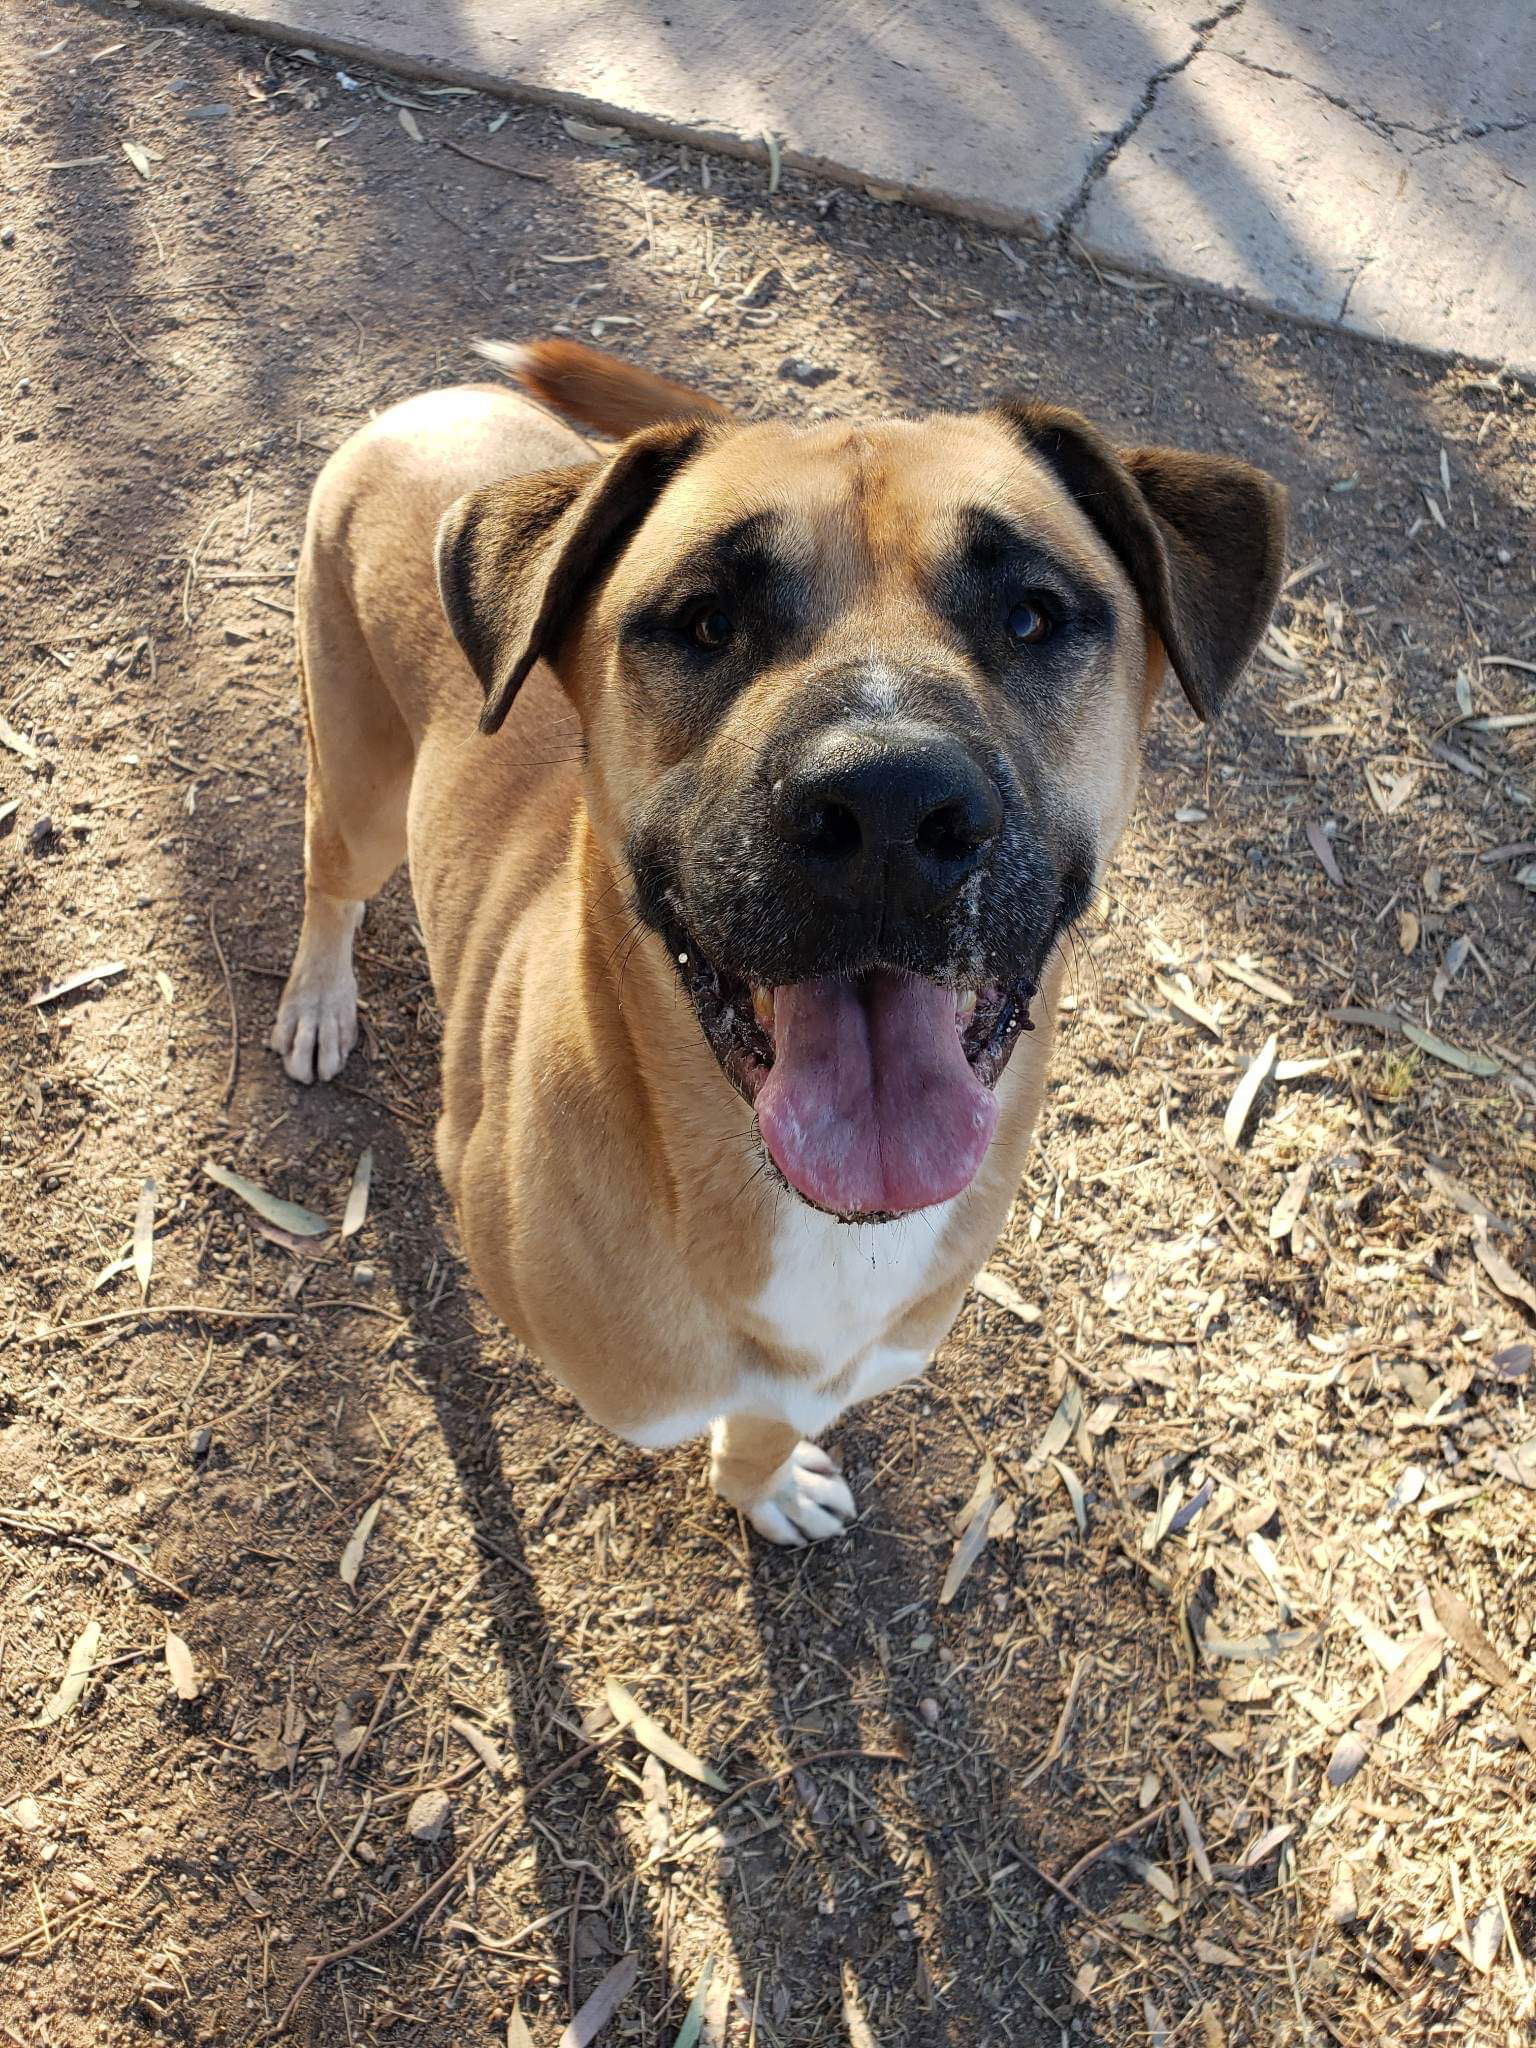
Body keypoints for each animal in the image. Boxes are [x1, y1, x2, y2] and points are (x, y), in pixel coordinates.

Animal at [274, 344, 1286, 1540]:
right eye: (709, 621)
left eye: (1032, 615)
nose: (890, 806)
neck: (813, 1216)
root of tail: (435, 405)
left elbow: (766, 1421)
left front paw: (765, 1485)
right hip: (359, 782)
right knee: (328, 879)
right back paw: (317, 1000)